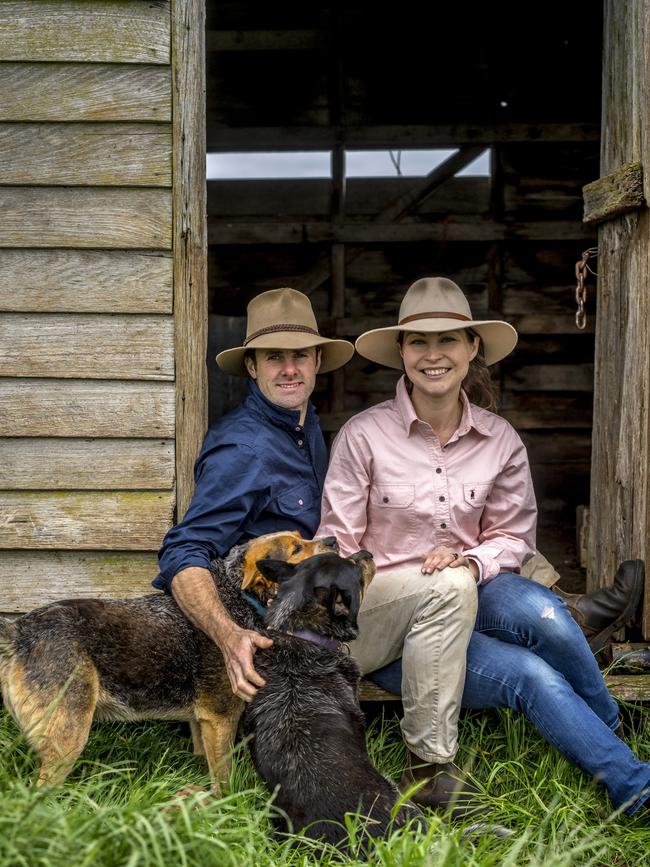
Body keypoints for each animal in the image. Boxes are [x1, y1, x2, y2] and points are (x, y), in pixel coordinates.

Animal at [0, 528, 336, 792]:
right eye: (296, 549)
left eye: (303, 537)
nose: (333, 540)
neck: (240, 597)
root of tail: (19, 630)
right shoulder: (221, 717)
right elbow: (224, 780)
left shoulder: (202, 721)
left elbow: (203, 758)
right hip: (68, 735)